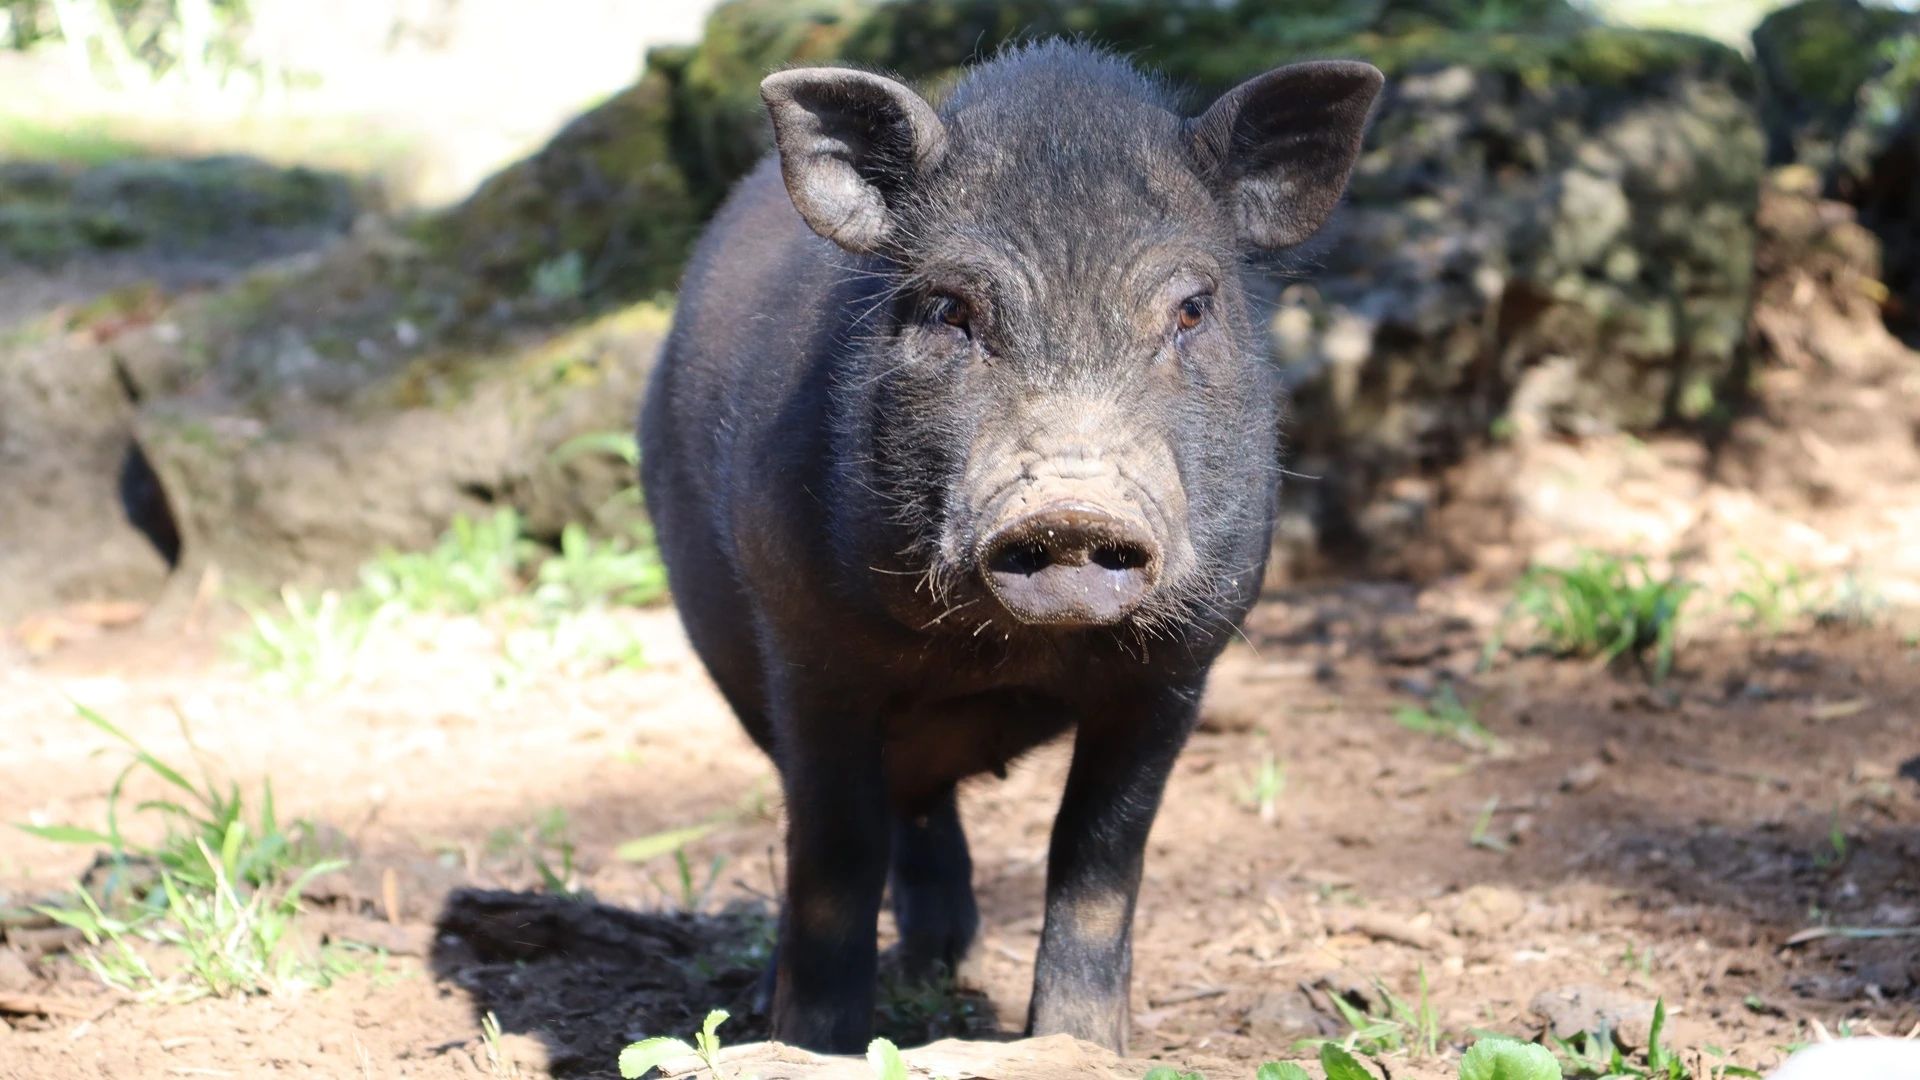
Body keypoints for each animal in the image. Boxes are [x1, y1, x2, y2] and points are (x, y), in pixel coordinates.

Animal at [641, 44, 1382, 1053]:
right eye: (950, 309)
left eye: (1192, 310)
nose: (1069, 510)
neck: (1002, 656)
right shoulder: (806, 647)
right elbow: (834, 849)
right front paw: (812, 1045)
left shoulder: (1181, 664)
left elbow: (1099, 857)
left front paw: (1079, 1046)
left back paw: (940, 966)